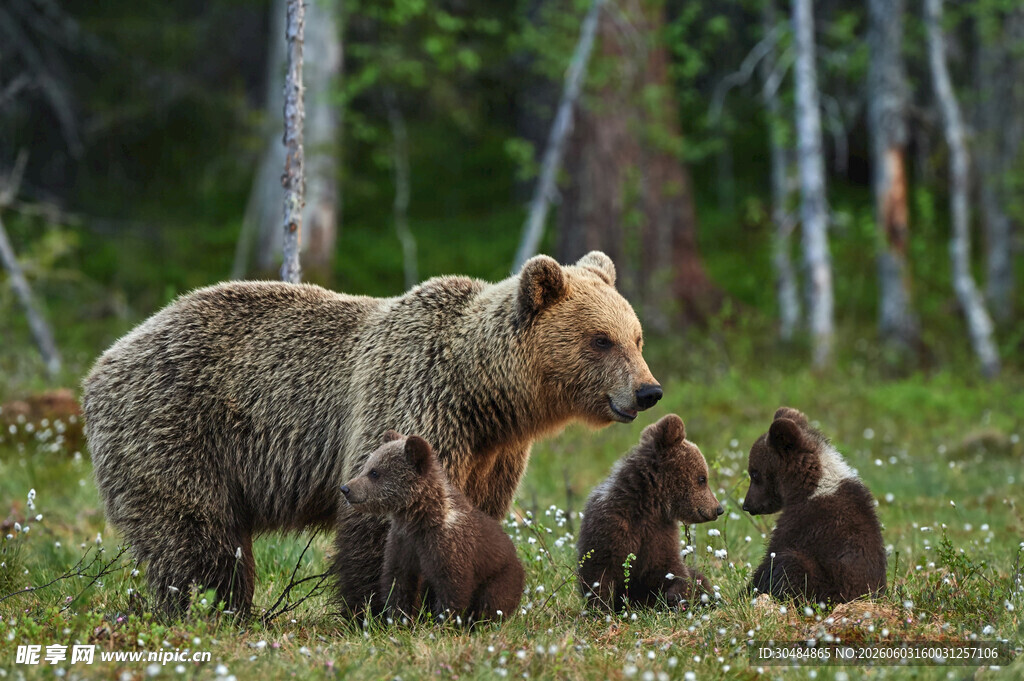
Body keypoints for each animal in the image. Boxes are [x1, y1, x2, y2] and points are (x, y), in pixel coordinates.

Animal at [341, 431, 524, 624]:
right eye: (367, 466)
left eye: (375, 472)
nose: (345, 488)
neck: (419, 518)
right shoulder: (402, 543)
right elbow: (398, 582)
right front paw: (399, 619)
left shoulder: (448, 547)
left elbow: (452, 588)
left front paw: (444, 622)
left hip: (501, 576)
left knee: (492, 601)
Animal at [577, 414, 724, 611]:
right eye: (702, 478)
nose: (718, 509)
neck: (649, 505)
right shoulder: (611, 526)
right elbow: (599, 573)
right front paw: (600, 609)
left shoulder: (660, 534)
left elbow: (672, 570)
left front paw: (677, 596)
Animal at [742, 407, 887, 604]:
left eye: (754, 473)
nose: (747, 505)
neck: (809, 487)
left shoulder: (805, 523)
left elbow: (772, 555)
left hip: (827, 587)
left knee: (790, 563)